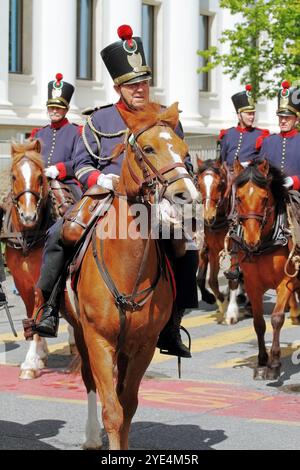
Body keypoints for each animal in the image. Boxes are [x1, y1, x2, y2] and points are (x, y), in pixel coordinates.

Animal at [63, 102, 199, 448]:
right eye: (148, 149)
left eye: (184, 151)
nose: (188, 196)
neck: (128, 270)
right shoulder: (98, 340)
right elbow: (112, 410)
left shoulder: (144, 345)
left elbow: (127, 407)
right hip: (81, 334)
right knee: (90, 382)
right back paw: (91, 436)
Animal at [197, 158, 244, 324]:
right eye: (198, 183)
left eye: (221, 183)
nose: (208, 216)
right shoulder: (213, 250)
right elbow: (211, 280)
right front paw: (222, 304)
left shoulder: (236, 250)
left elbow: (233, 278)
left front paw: (231, 312)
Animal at [233, 160, 300, 380]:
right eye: (238, 198)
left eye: (264, 199)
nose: (251, 240)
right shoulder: (252, 284)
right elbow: (259, 323)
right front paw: (262, 359)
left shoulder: (286, 283)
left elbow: (277, 319)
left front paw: (275, 363)